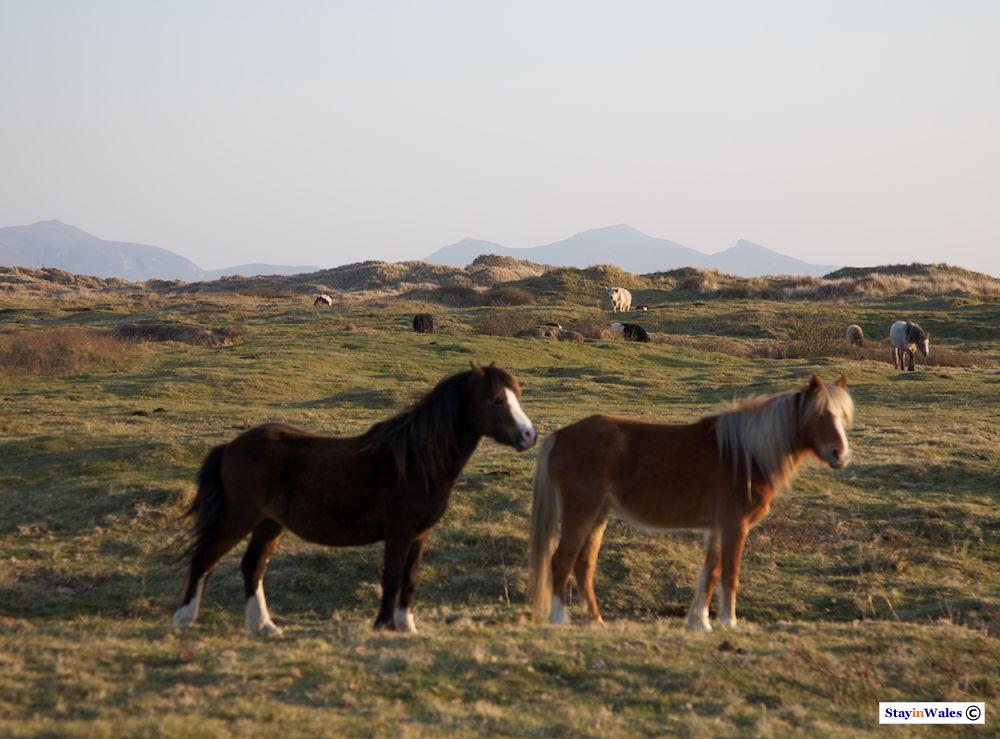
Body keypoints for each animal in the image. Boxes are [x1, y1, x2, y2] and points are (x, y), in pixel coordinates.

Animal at [172, 362, 536, 635]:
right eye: (496, 400)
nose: (529, 435)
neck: (414, 462)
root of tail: (229, 447)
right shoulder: (399, 533)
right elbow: (392, 578)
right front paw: (383, 625)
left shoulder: (420, 535)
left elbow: (410, 579)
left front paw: (407, 626)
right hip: (239, 517)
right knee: (205, 558)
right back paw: (185, 618)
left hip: (268, 524)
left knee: (252, 567)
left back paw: (264, 626)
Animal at [528, 374, 853, 632]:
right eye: (820, 415)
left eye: (843, 417)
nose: (840, 454)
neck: (745, 454)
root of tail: (560, 435)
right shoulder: (735, 526)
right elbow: (730, 573)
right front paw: (729, 623)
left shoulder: (718, 528)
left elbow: (710, 572)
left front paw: (700, 622)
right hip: (580, 514)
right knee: (561, 561)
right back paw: (559, 618)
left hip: (598, 516)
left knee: (583, 566)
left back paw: (595, 620)